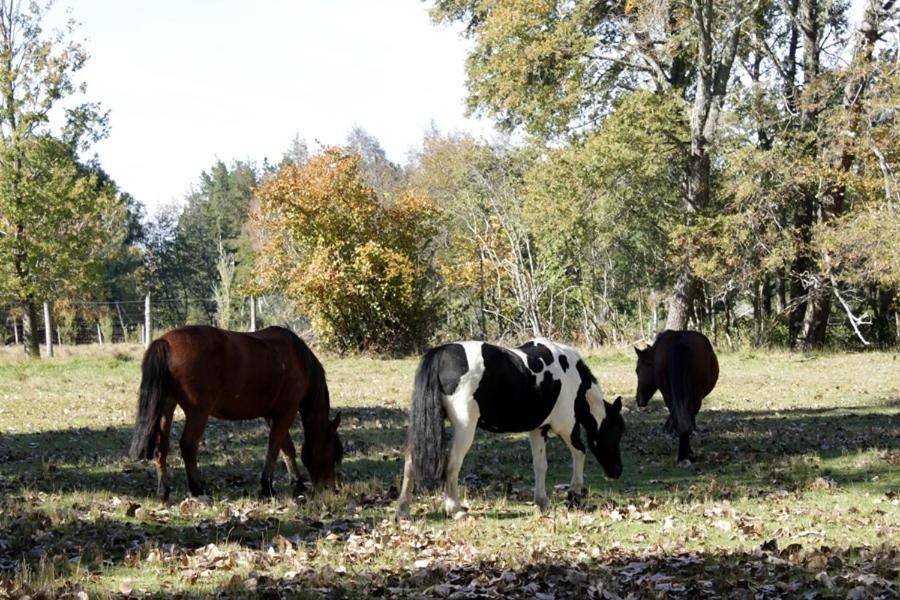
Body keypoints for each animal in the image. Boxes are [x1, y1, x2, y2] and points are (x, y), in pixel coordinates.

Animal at [125, 326, 338, 500]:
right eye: (335, 453)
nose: (332, 488)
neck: (297, 359)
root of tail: (166, 342)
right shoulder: (287, 411)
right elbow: (274, 448)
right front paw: (267, 487)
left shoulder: (272, 414)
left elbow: (286, 448)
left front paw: (296, 483)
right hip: (198, 412)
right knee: (188, 446)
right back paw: (197, 489)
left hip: (167, 406)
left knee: (162, 447)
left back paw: (163, 491)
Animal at [396, 338, 624, 520]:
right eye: (616, 431)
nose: (617, 471)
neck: (572, 377)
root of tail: (441, 353)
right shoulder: (566, 426)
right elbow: (580, 452)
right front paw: (575, 493)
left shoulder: (538, 430)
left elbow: (540, 465)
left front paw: (542, 502)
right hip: (465, 429)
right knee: (452, 464)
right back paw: (456, 510)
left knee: (411, 459)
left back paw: (403, 511)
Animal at [636, 330, 720, 466]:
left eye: (637, 370)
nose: (639, 400)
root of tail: (681, 343)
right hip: (692, 397)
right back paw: (686, 455)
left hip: (671, 395)